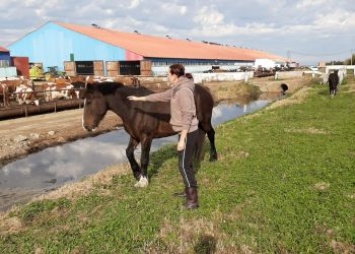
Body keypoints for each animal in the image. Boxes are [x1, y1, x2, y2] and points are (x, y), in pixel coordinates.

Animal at [82, 82, 218, 188]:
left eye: (89, 101)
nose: (86, 126)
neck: (133, 108)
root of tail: (205, 90)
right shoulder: (135, 137)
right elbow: (128, 152)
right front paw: (137, 175)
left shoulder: (146, 137)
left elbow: (144, 158)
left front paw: (143, 181)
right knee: (199, 138)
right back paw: (195, 159)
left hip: (204, 121)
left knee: (211, 134)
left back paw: (213, 157)